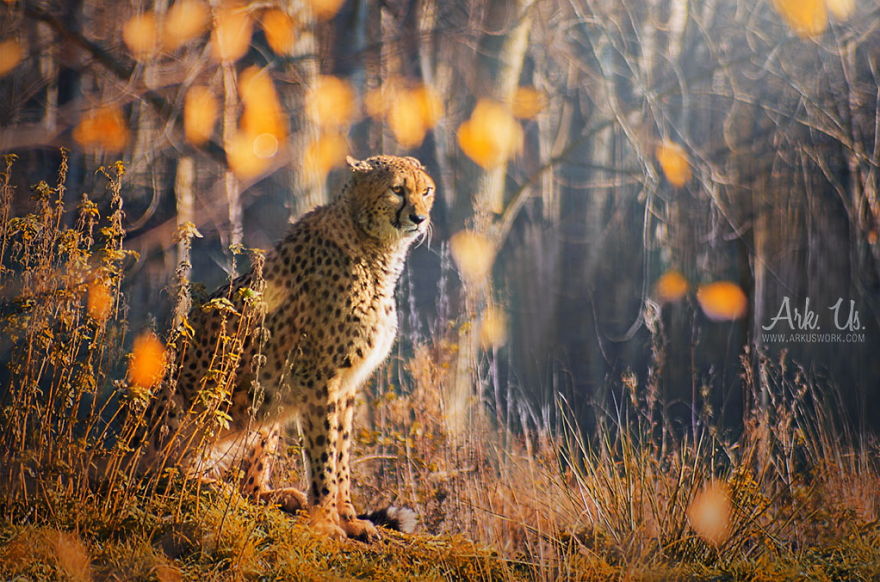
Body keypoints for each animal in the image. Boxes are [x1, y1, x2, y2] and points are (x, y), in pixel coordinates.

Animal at [141, 154, 434, 541]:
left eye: (426, 190)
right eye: (397, 189)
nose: (419, 218)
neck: (374, 249)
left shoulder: (346, 387)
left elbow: (341, 457)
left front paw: (349, 518)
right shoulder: (319, 381)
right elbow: (324, 457)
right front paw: (326, 522)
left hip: (264, 407)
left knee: (250, 487)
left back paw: (278, 495)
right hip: (192, 403)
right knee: (162, 473)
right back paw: (208, 486)